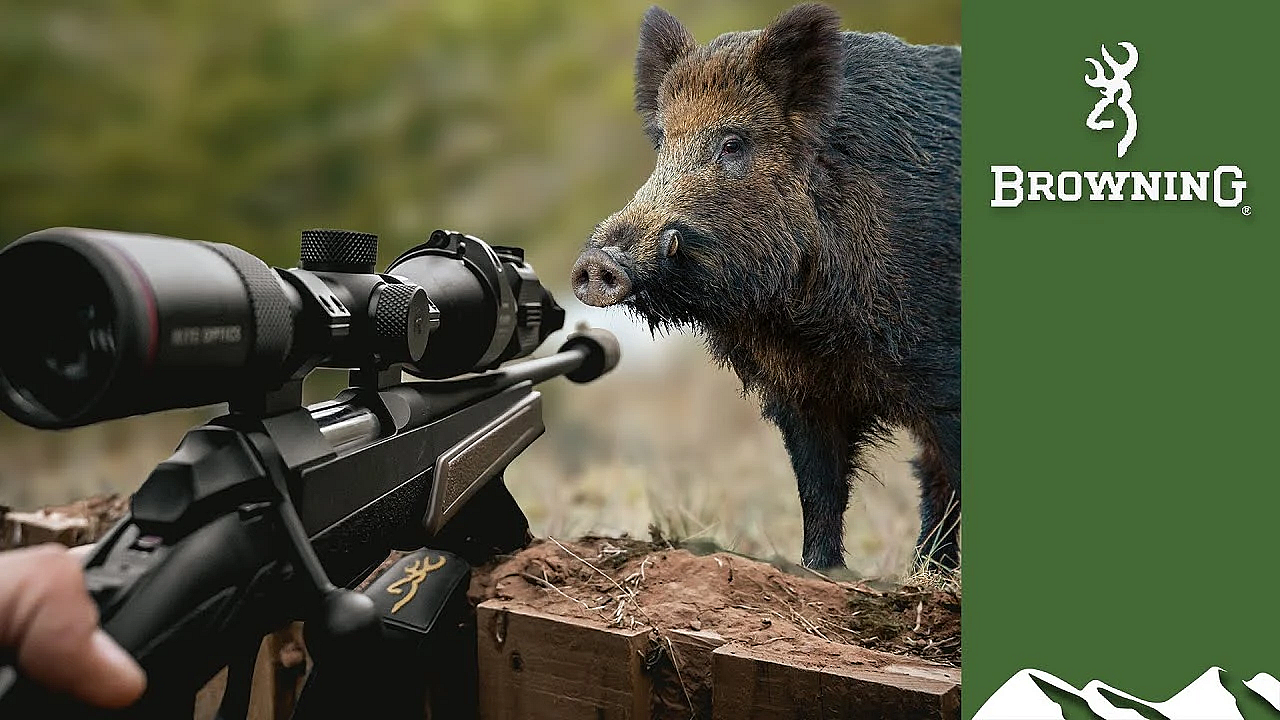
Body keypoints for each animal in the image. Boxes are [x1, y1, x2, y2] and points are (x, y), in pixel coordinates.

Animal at [572, 4, 960, 570]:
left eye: (733, 143)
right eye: (662, 142)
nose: (597, 263)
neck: (811, 325)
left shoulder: (943, 375)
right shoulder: (801, 392)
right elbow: (818, 489)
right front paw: (821, 571)